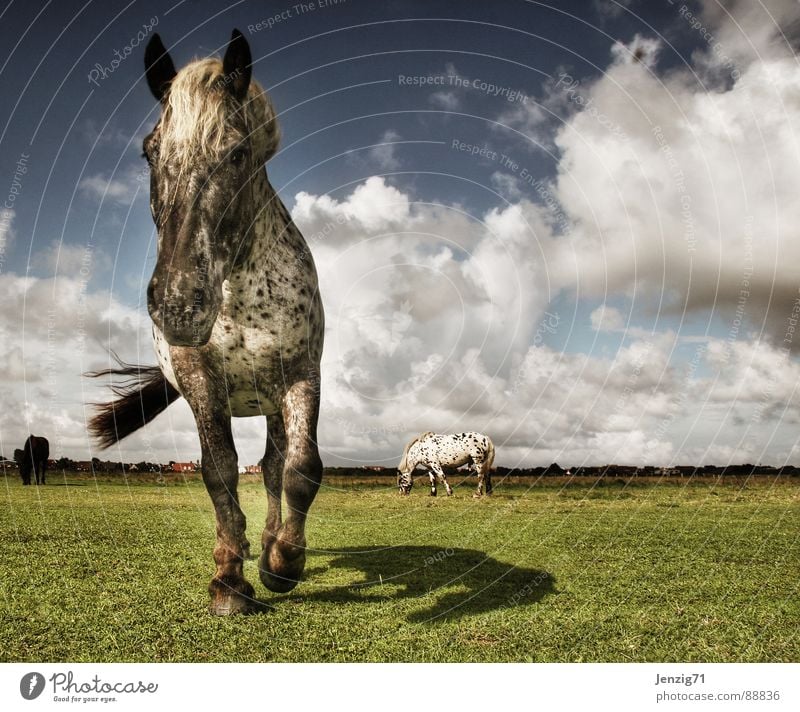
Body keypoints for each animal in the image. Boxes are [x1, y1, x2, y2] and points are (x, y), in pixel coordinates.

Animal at [86, 30, 324, 616]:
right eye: (149, 151)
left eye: (237, 153)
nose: (179, 302)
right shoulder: (200, 380)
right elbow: (218, 471)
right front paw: (229, 579)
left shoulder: (300, 375)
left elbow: (301, 470)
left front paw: (283, 565)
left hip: (272, 403)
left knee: (274, 466)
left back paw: (270, 547)